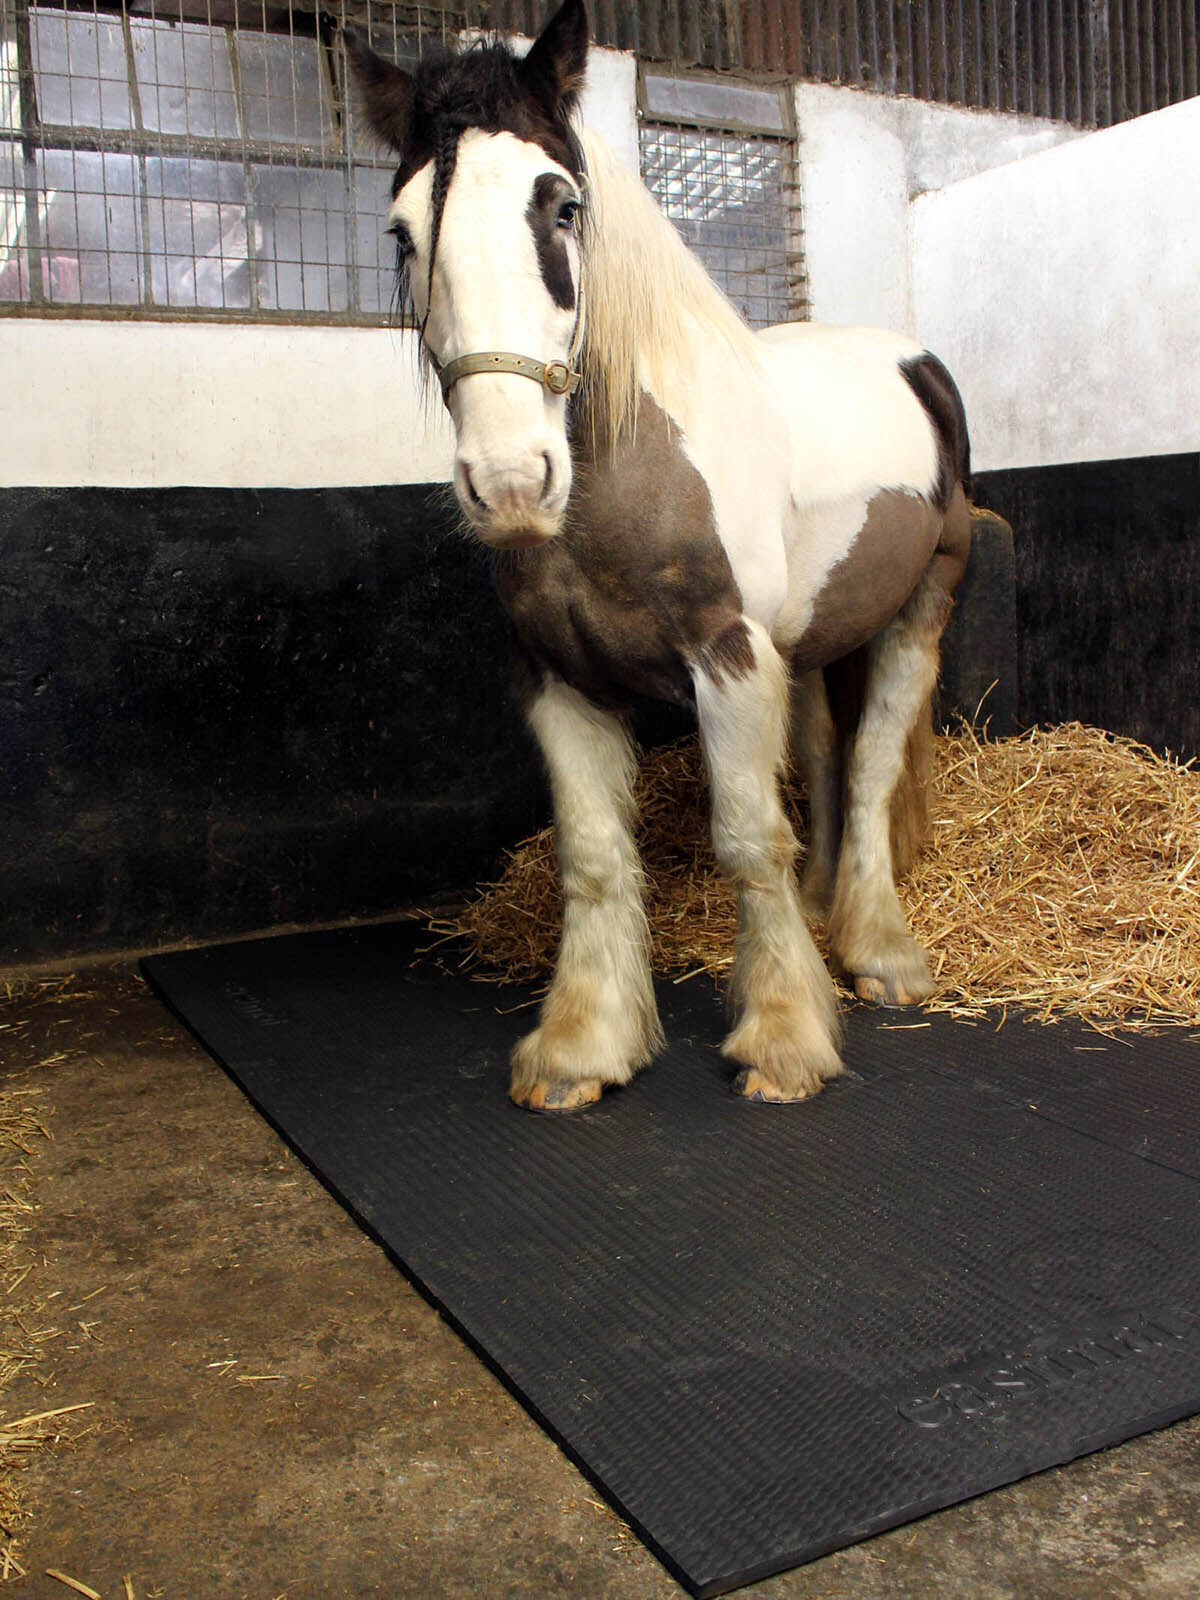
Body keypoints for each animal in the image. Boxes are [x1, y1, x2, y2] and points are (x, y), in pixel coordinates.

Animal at [347, 0, 972, 1113]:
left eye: (560, 207)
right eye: (403, 231)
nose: (510, 482)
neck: (628, 466)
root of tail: (914, 363)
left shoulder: (728, 657)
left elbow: (747, 840)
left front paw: (784, 1040)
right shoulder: (555, 677)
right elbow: (595, 856)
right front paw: (582, 1047)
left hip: (919, 607)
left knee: (871, 761)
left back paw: (878, 954)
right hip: (808, 638)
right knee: (823, 748)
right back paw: (825, 915)